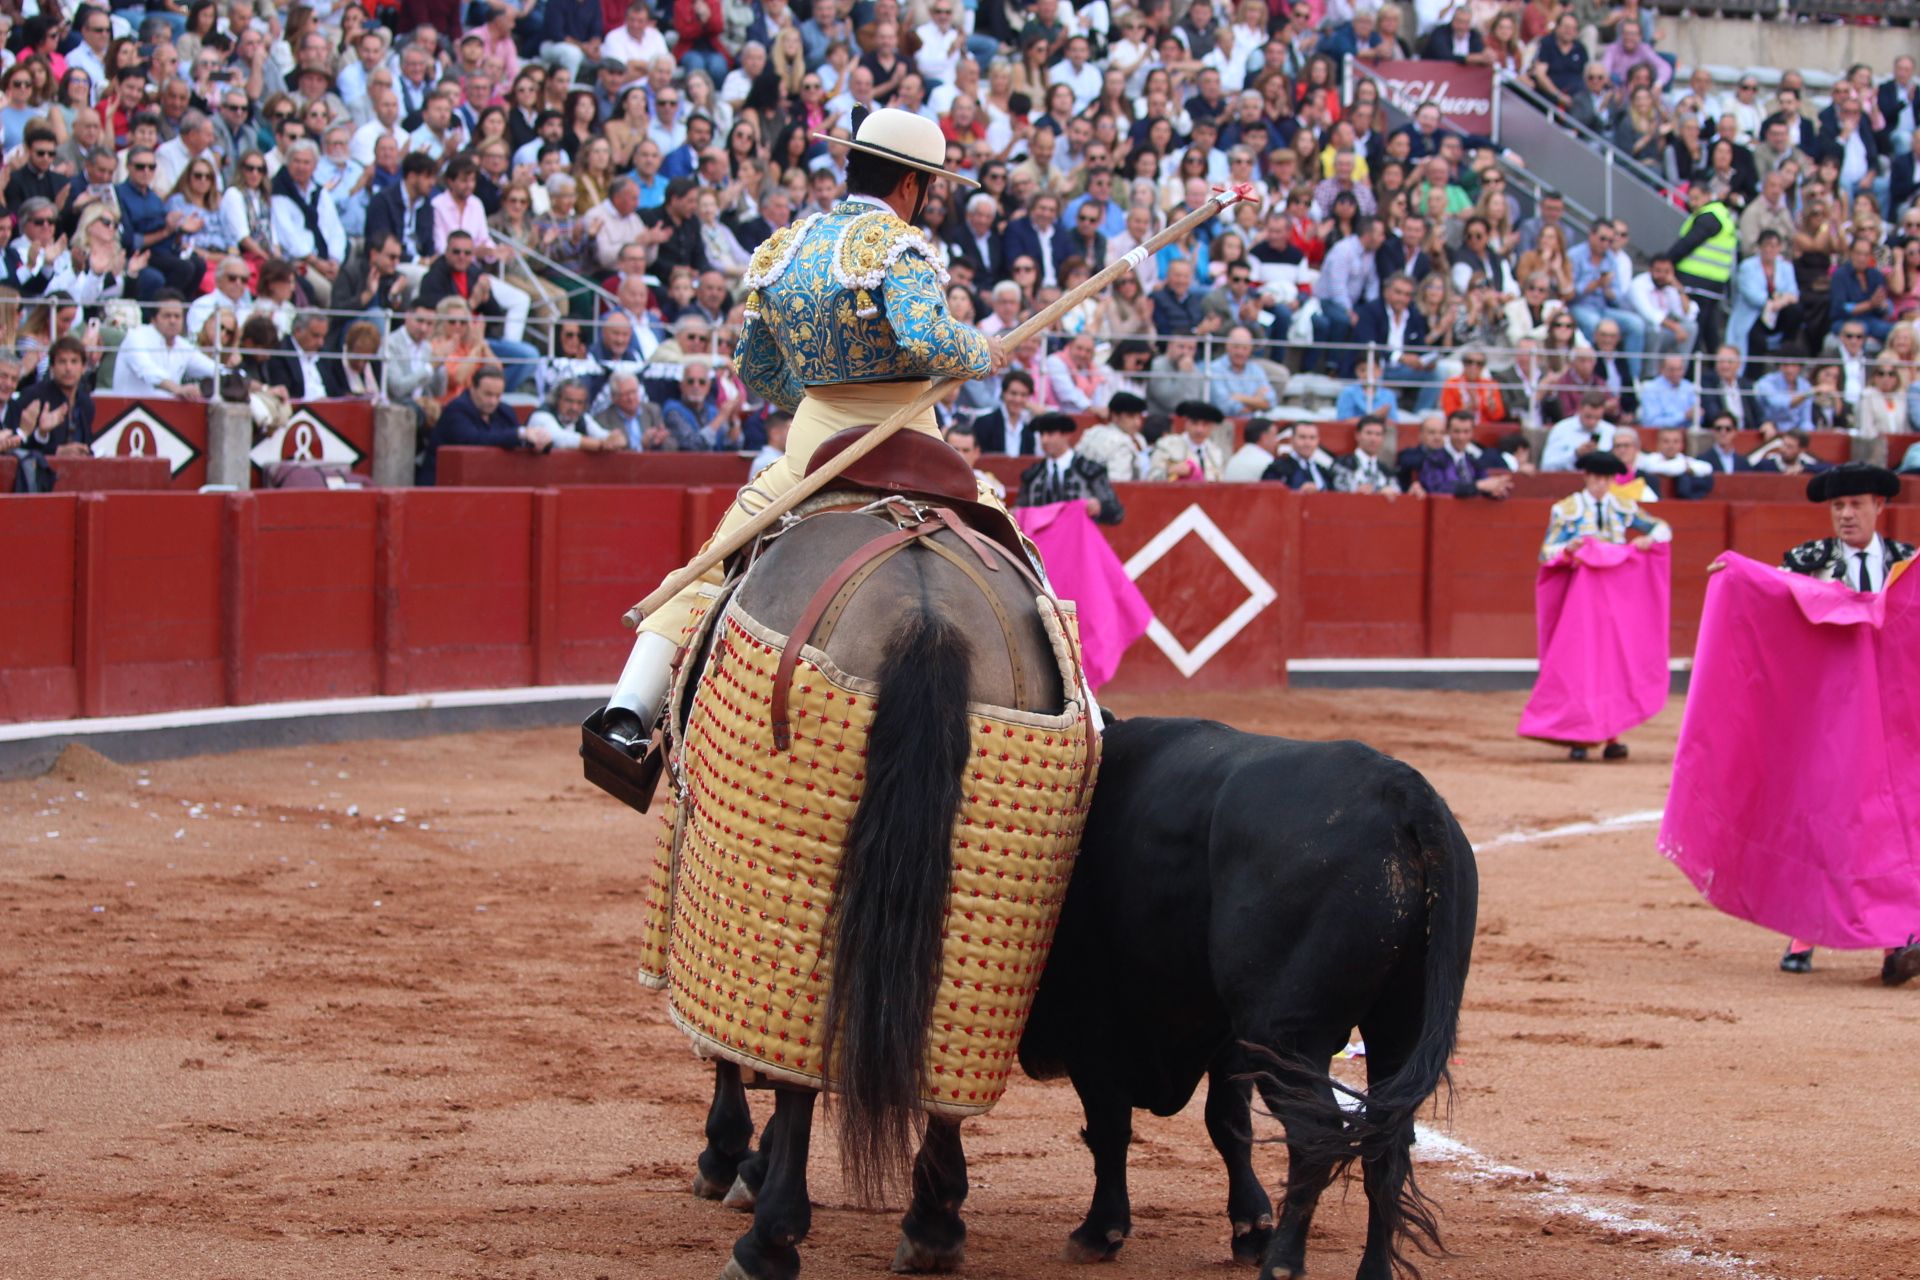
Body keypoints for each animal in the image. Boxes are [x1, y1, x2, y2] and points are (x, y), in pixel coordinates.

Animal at [683, 721, 1474, 1280]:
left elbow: (1110, 1130)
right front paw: (1245, 1226)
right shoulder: (1223, 1039)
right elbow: (1226, 1126)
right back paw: (1370, 1273)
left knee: (1318, 1137)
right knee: (1386, 1143)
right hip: (1392, 1030)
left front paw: (1101, 1231)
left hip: (1291, 1035)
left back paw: (1283, 1266)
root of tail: (1402, 795)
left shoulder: (1110, 1033)